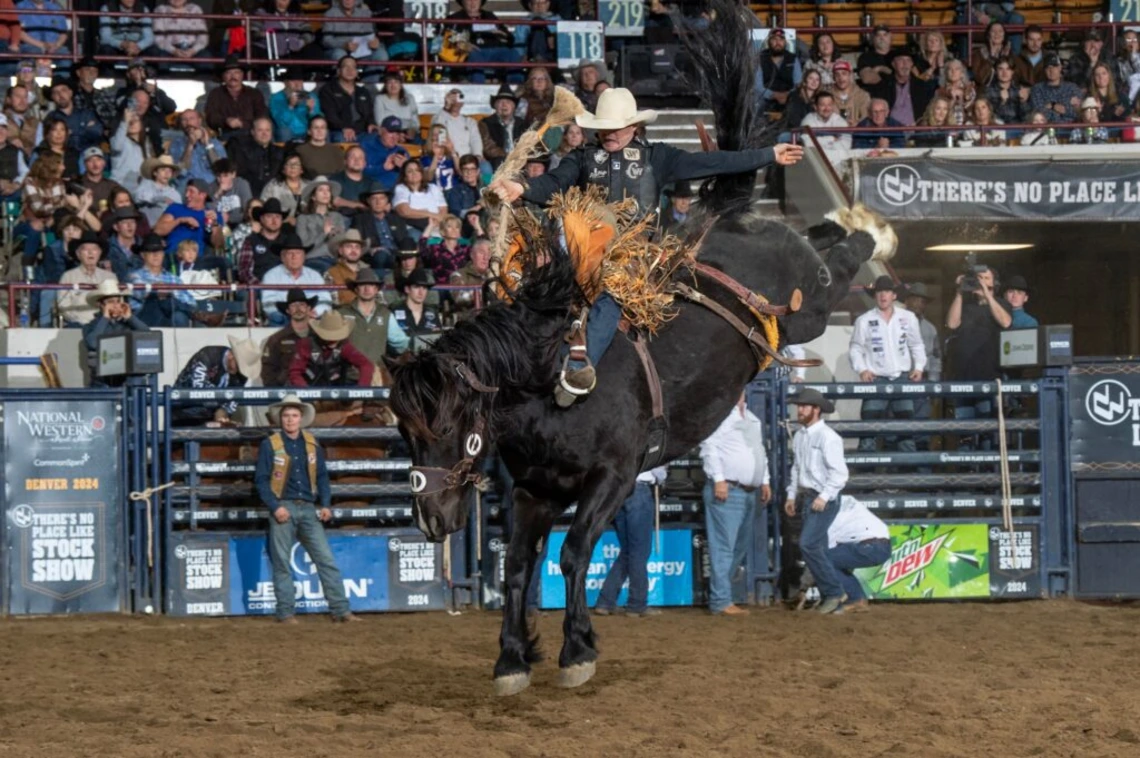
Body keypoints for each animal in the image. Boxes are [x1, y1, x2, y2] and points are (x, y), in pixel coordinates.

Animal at [389, 1, 889, 697]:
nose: (431, 521)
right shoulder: (534, 489)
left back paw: (868, 227)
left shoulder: (615, 476)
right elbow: (518, 568)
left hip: (811, 308)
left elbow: (574, 556)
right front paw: (512, 659)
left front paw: (577, 651)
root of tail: (723, 218)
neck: (544, 385)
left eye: (455, 428)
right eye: (406, 432)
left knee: (837, 263)